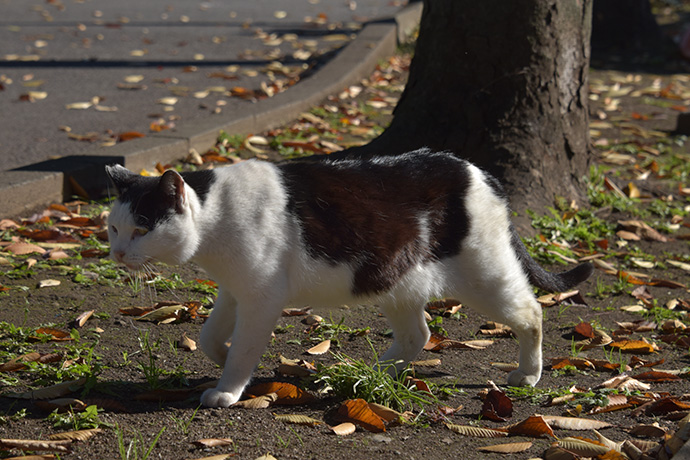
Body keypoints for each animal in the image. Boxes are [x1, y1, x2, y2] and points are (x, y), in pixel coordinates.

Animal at [103, 149, 592, 408]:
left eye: (142, 228)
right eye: (113, 227)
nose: (118, 253)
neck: (215, 213)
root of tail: (478, 171)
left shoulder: (261, 297)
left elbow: (245, 347)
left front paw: (228, 388)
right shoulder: (234, 291)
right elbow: (208, 336)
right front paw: (221, 358)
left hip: (484, 276)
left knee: (531, 312)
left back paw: (529, 374)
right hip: (396, 280)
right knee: (418, 334)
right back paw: (370, 372)